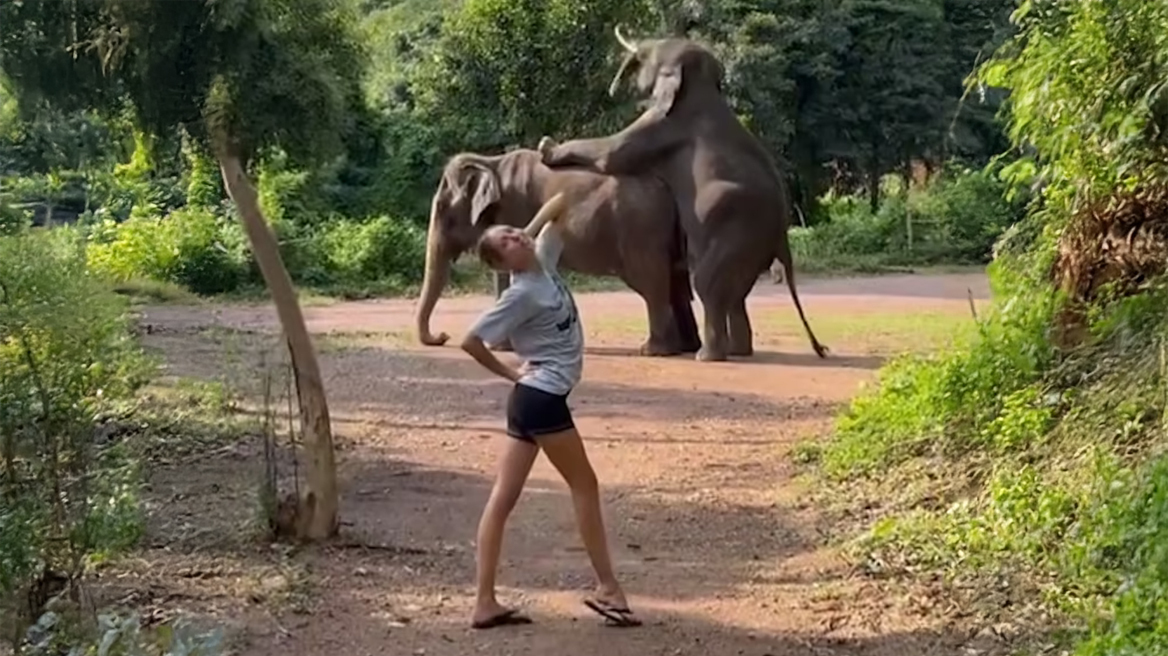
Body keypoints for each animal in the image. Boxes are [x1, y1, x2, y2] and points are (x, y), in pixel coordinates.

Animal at [413, 147, 696, 357]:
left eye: (442, 208)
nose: (442, 336)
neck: (490, 162)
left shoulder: (515, 209)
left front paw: (500, 348)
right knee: (675, 284)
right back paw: (684, 348)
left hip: (642, 232)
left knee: (651, 283)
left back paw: (653, 351)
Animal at [537, 25, 831, 359]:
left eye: (652, 54)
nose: (615, 88)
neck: (703, 87)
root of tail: (781, 233)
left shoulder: (663, 124)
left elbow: (612, 154)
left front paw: (546, 148)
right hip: (752, 246)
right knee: (736, 294)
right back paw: (737, 351)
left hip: (738, 233)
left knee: (707, 283)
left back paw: (709, 356)